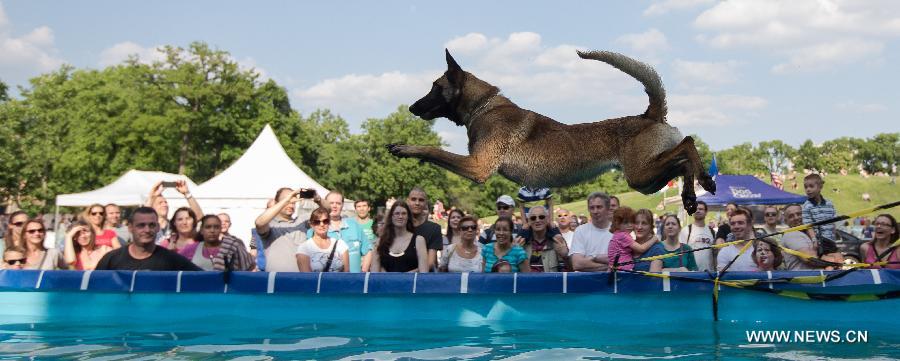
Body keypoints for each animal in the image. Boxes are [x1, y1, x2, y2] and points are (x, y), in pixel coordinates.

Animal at [390, 49, 712, 212]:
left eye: (435, 87)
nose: (412, 107)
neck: (484, 106)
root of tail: (650, 114)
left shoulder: (478, 166)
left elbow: (432, 150)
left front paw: (403, 148)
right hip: (645, 181)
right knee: (682, 162)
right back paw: (690, 195)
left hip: (641, 174)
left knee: (687, 144)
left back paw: (706, 180)